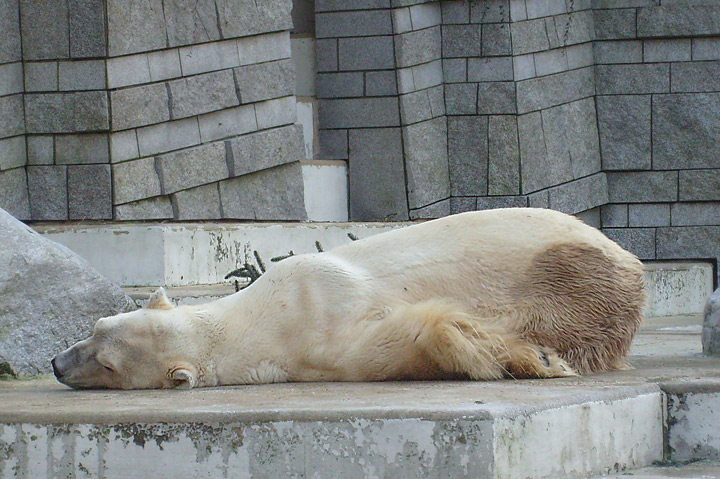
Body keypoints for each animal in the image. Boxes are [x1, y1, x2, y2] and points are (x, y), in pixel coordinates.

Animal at [52, 210, 648, 390]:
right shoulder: (313, 355)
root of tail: (634, 270)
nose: (57, 363)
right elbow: (388, 352)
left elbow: (400, 333)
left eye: (107, 363)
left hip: (567, 273)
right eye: (96, 325)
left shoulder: (322, 300)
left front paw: (535, 358)